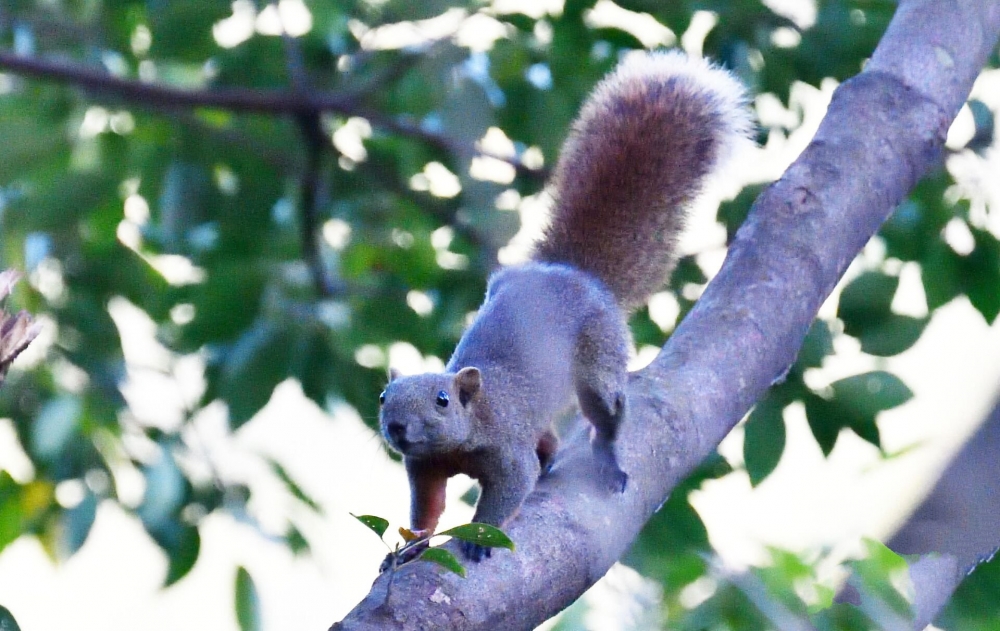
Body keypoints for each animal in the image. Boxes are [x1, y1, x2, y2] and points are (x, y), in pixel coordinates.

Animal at [378, 49, 752, 564]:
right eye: (382, 397)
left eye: (441, 400)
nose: (396, 428)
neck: (472, 423)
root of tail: (573, 274)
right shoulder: (424, 466)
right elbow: (426, 509)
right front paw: (411, 547)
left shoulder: (507, 449)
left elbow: (508, 492)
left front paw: (478, 537)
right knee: (550, 440)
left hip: (598, 364)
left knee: (605, 418)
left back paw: (608, 462)